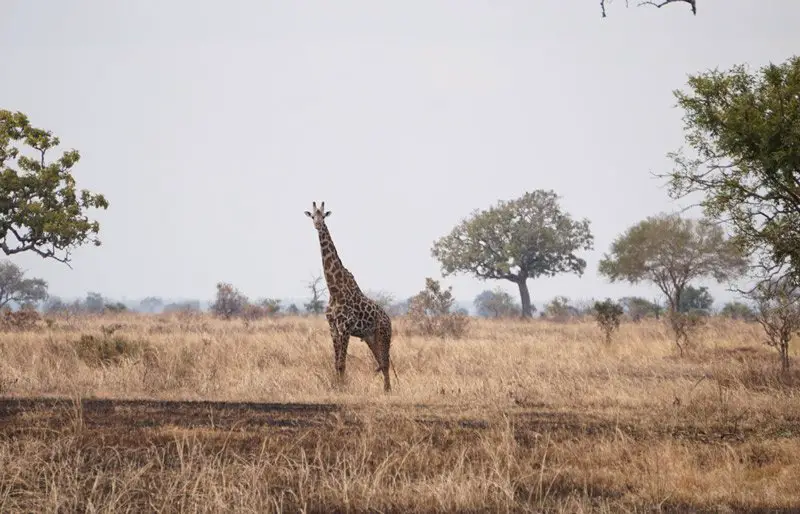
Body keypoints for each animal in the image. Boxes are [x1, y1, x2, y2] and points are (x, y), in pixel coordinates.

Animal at [304, 202, 396, 390]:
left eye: (323, 216)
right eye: (312, 216)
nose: (317, 224)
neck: (334, 289)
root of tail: (388, 319)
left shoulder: (345, 327)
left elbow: (342, 363)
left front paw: (342, 387)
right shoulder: (333, 327)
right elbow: (336, 362)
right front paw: (336, 385)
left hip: (384, 335)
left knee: (385, 361)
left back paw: (388, 389)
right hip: (370, 338)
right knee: (381, 361)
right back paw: (386, 390)